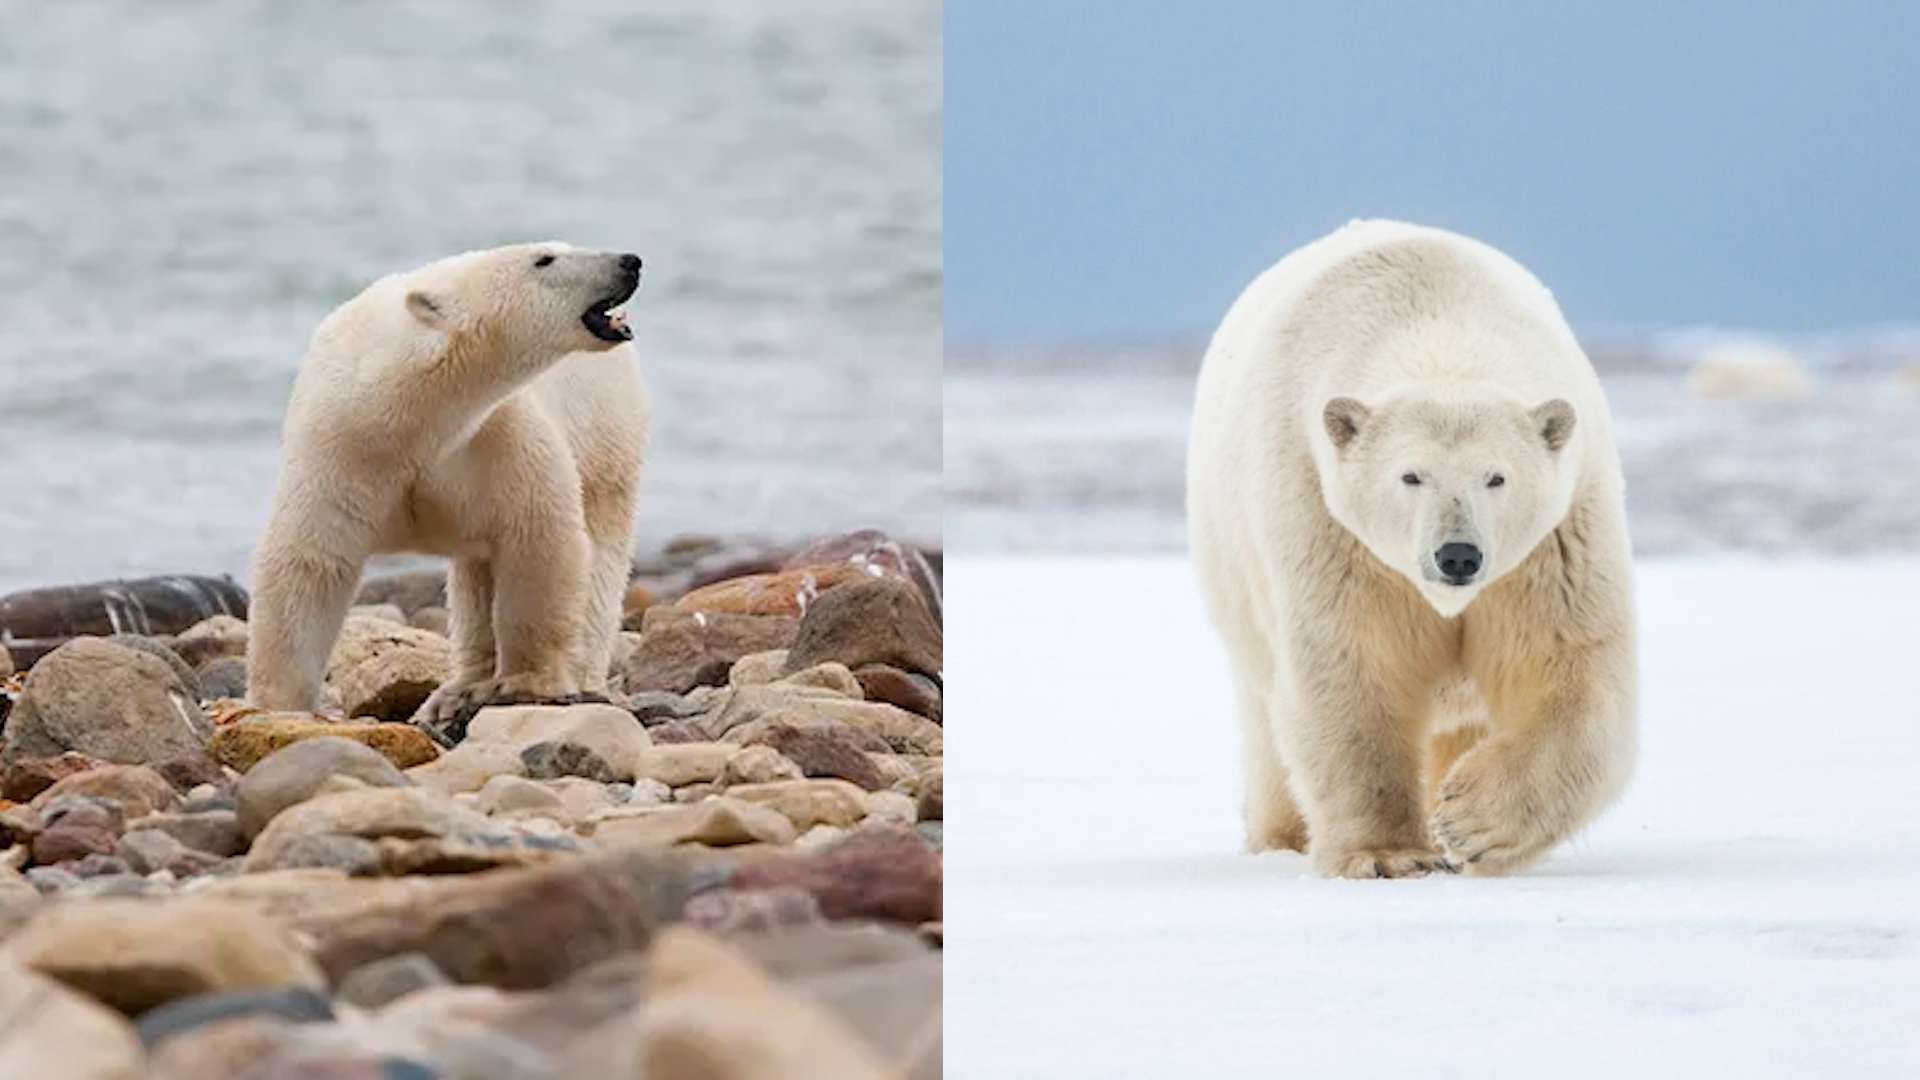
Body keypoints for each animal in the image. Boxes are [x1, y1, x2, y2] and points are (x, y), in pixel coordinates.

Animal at [247, 244, 648, 722]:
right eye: (545, 259)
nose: (629, 261)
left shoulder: (496, 439)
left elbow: (538, 540)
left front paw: (528, 681)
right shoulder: (340, 450)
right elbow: (310, 563)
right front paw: (277, 705)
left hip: (606, 436)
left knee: (601, 554)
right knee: (475, 576)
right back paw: (458, 690)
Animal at [1182, 219, 1635, 876]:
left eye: (1497, 477)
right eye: (1410, 475)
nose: (1458, 555)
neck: (1437, 321)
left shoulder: (1557, 538)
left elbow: (1568, 665)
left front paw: (1469, 821)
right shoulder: (1327, 521)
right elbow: (1353, 667)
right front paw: (1388, 854)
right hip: (1237, 579)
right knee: (1267, 721)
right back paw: (1281, 837)